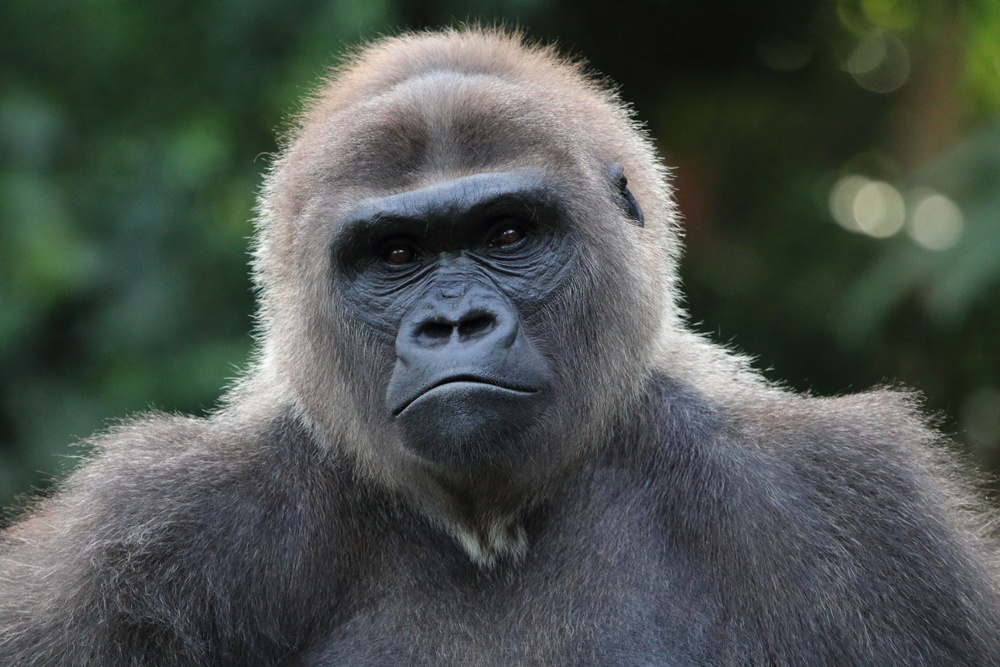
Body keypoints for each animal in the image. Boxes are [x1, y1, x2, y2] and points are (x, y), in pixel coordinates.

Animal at [1, 27, 999, 666]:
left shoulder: (861, 514)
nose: (454, 326)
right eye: (396, 254)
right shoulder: (140, 532)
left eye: (508, 234)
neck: (491, 525)